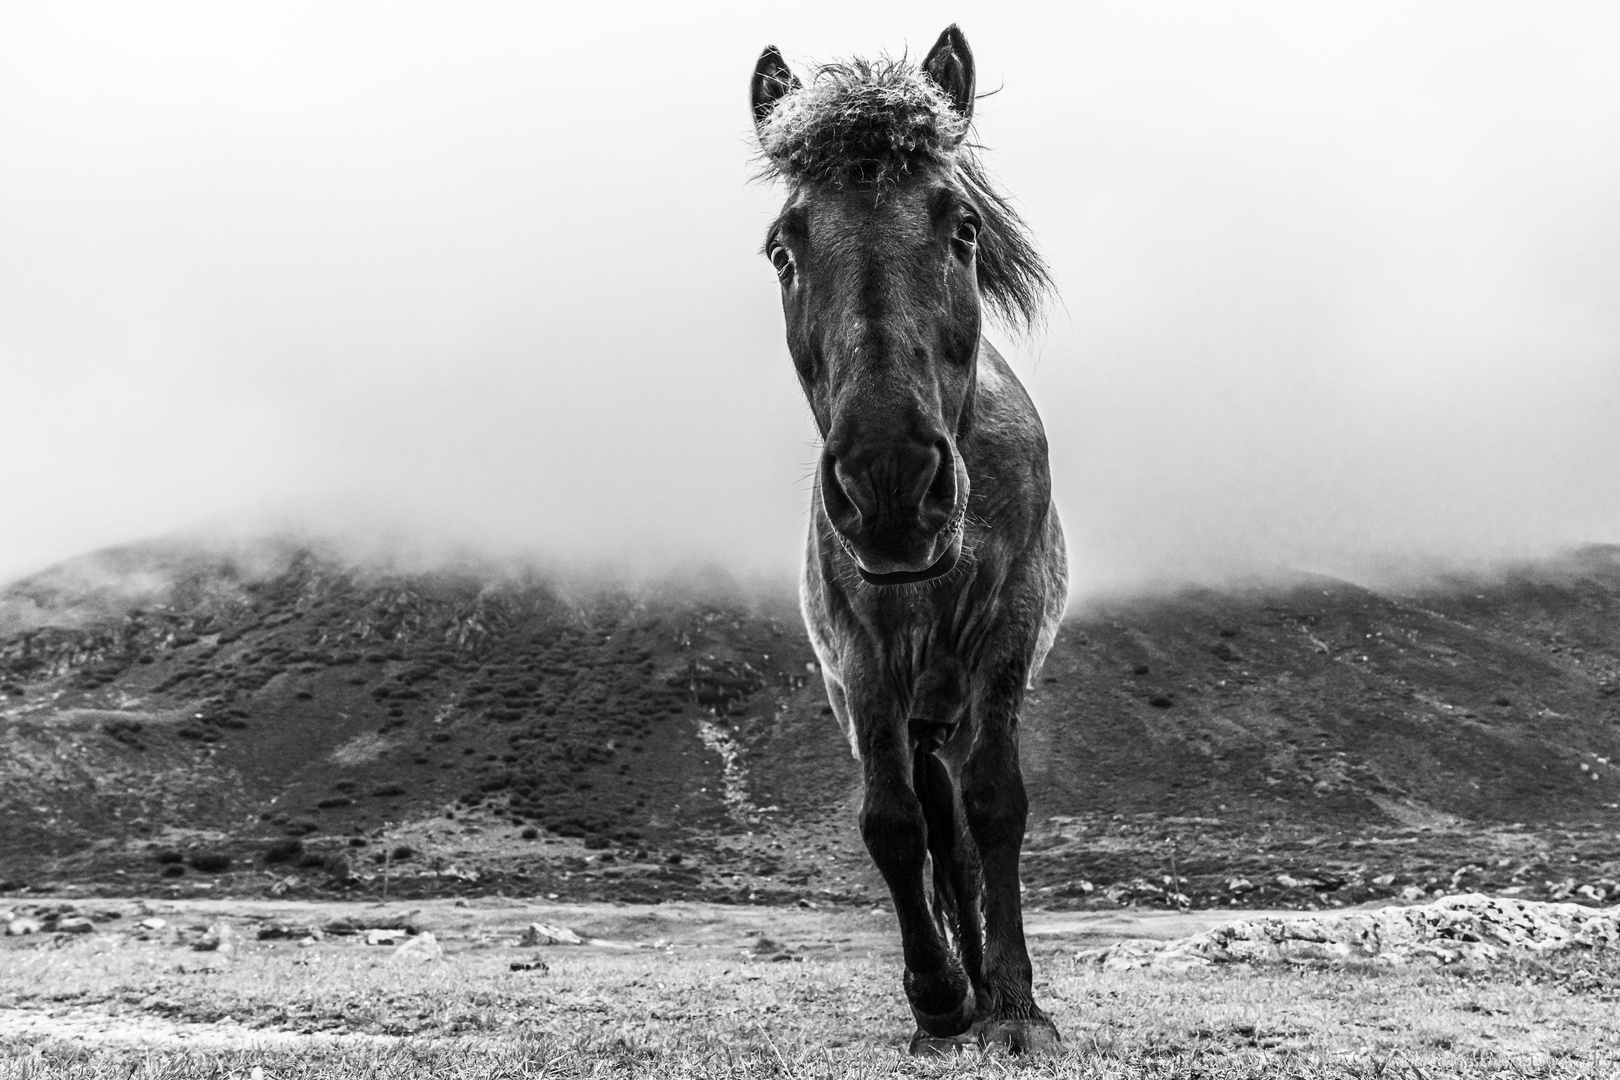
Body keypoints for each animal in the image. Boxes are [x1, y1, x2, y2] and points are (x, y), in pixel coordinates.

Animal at [748, 25, 1075, 1055]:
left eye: (961, 226)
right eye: (782, 249)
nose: (889, 487)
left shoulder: (1006, 634)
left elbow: (996, 805)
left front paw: (1013, 1003)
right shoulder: (862, 658)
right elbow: (892, 824)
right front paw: (939, 998)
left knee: (962, 828)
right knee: (934, 827)